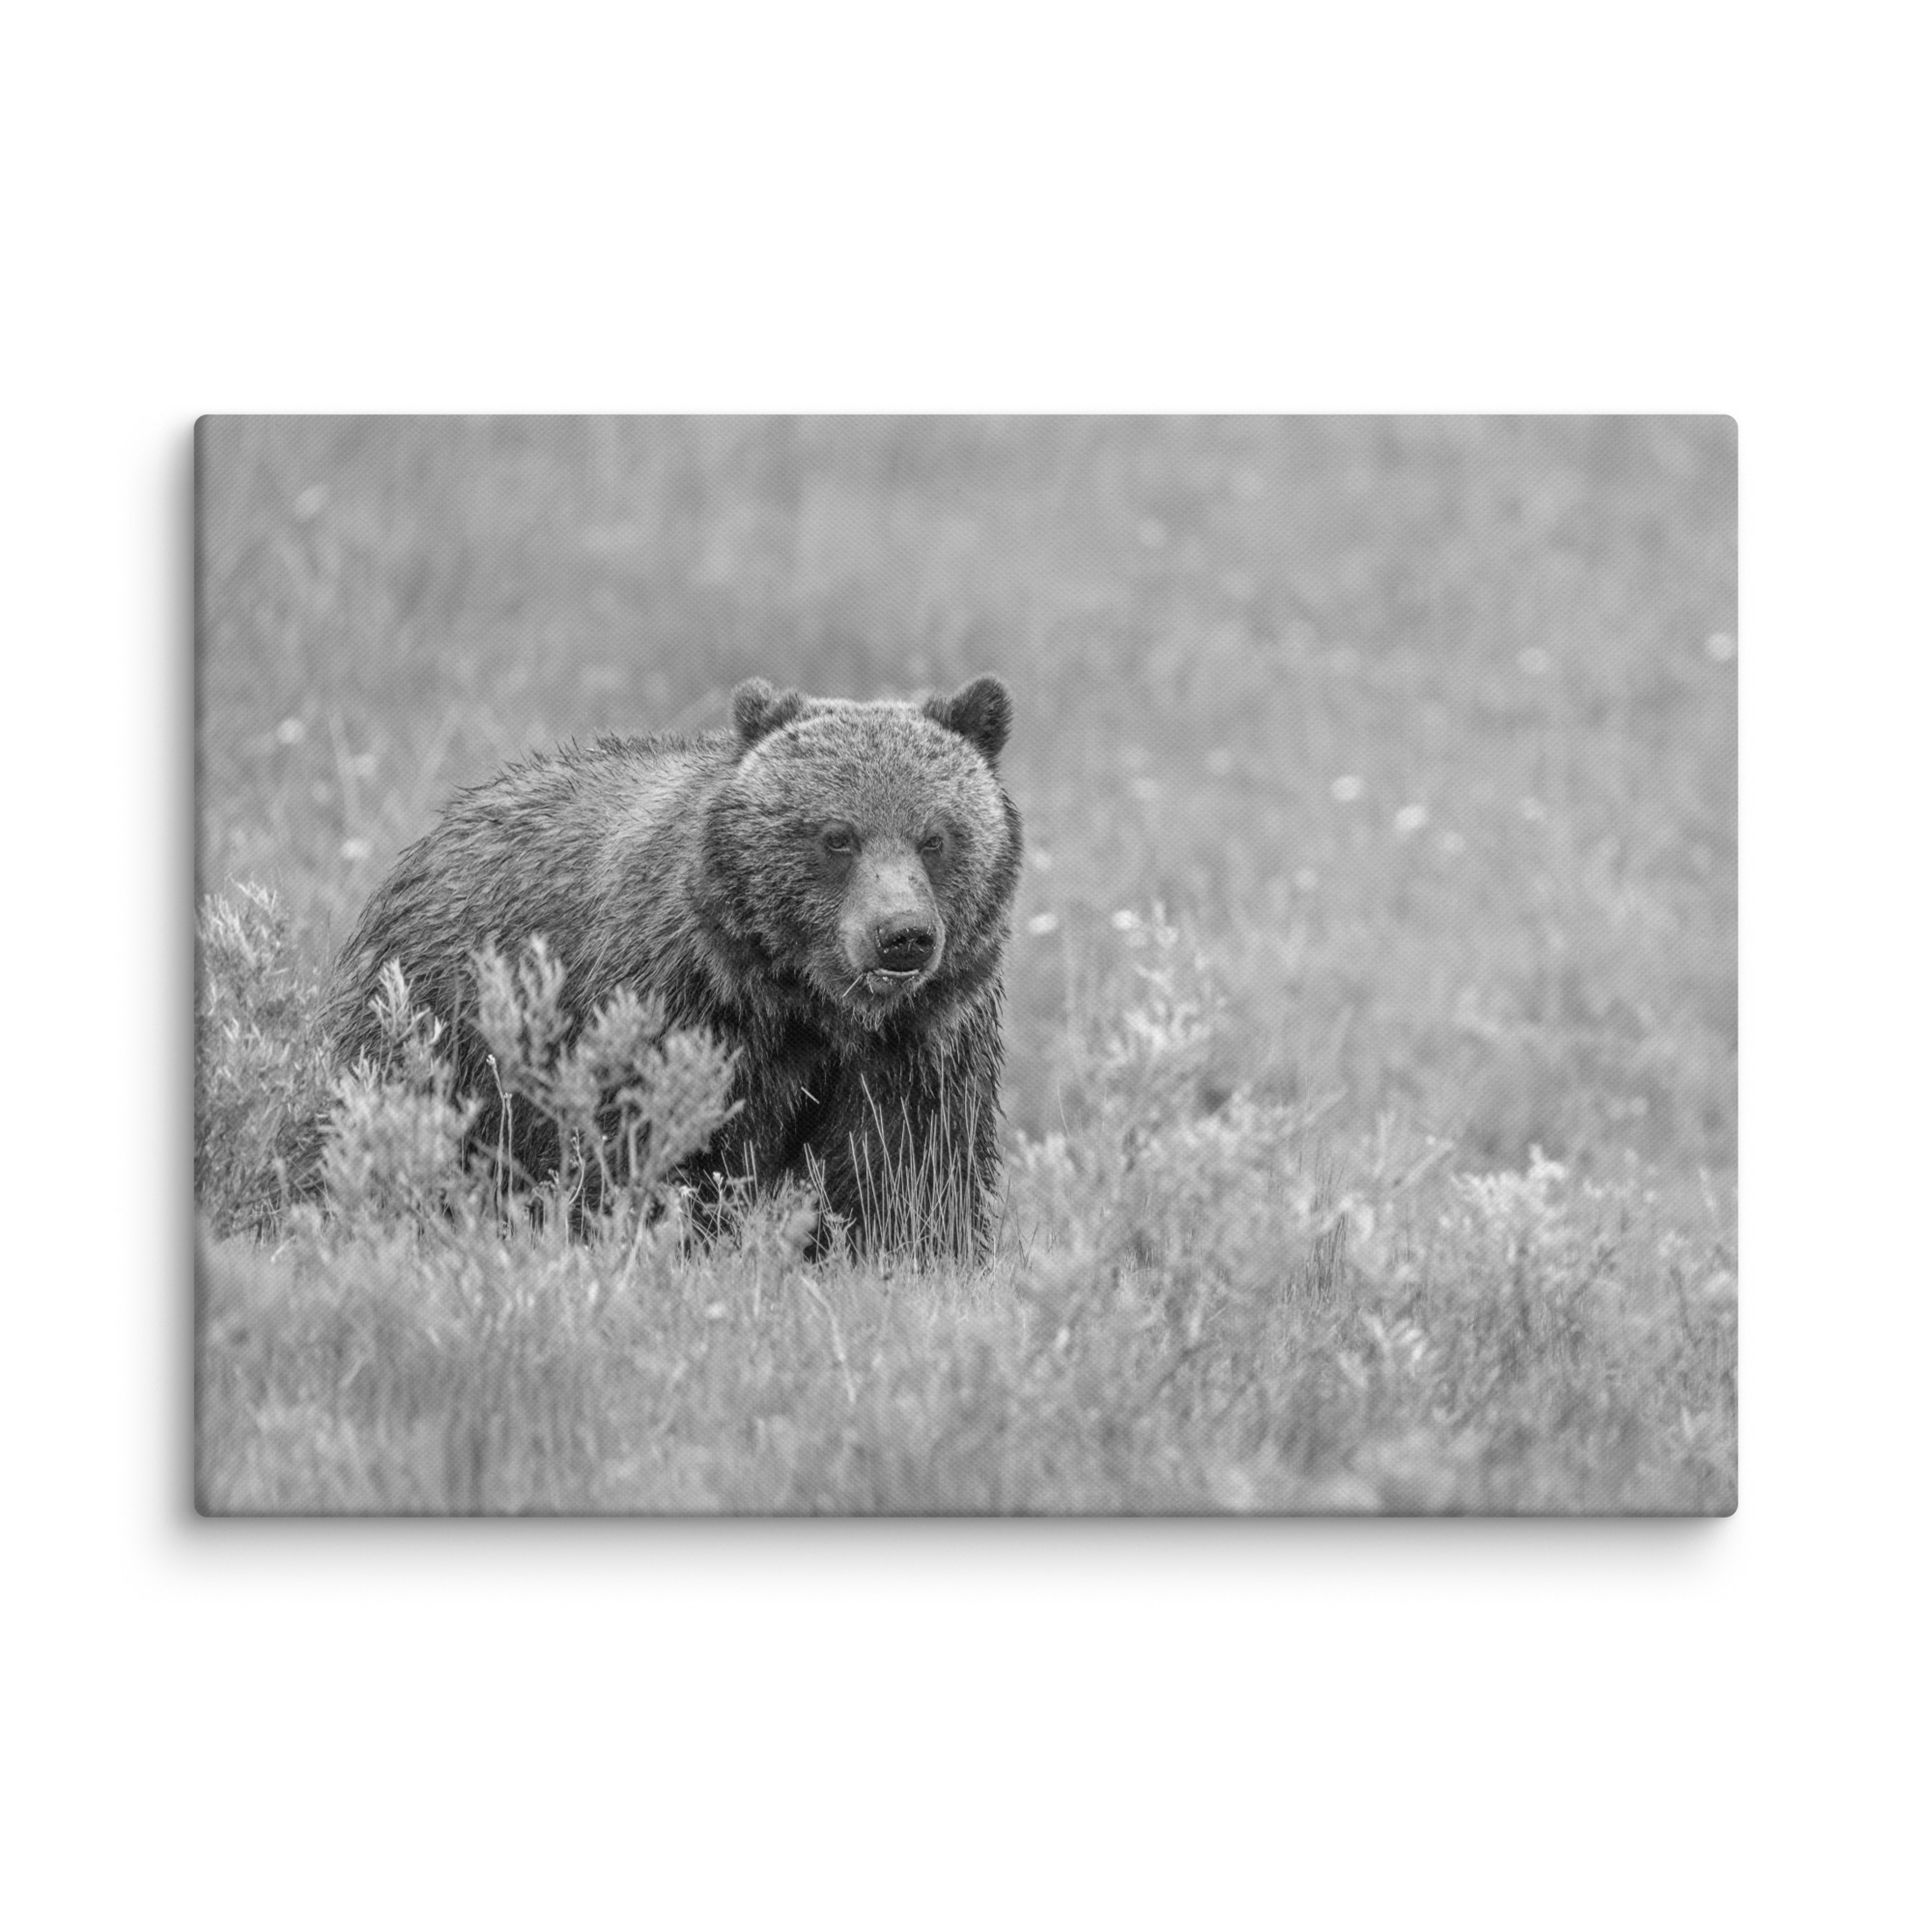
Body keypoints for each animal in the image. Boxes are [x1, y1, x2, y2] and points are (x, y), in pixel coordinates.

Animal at [325, 675, 1022, 1259]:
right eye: (837, 836)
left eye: (935, 837)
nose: (902, 936)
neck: (807, 1003)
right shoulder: (678, 1008)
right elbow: (656, 1148)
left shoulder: (920, 1041)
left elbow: (908, 1169)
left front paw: (911, 1255)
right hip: (442, 1023)